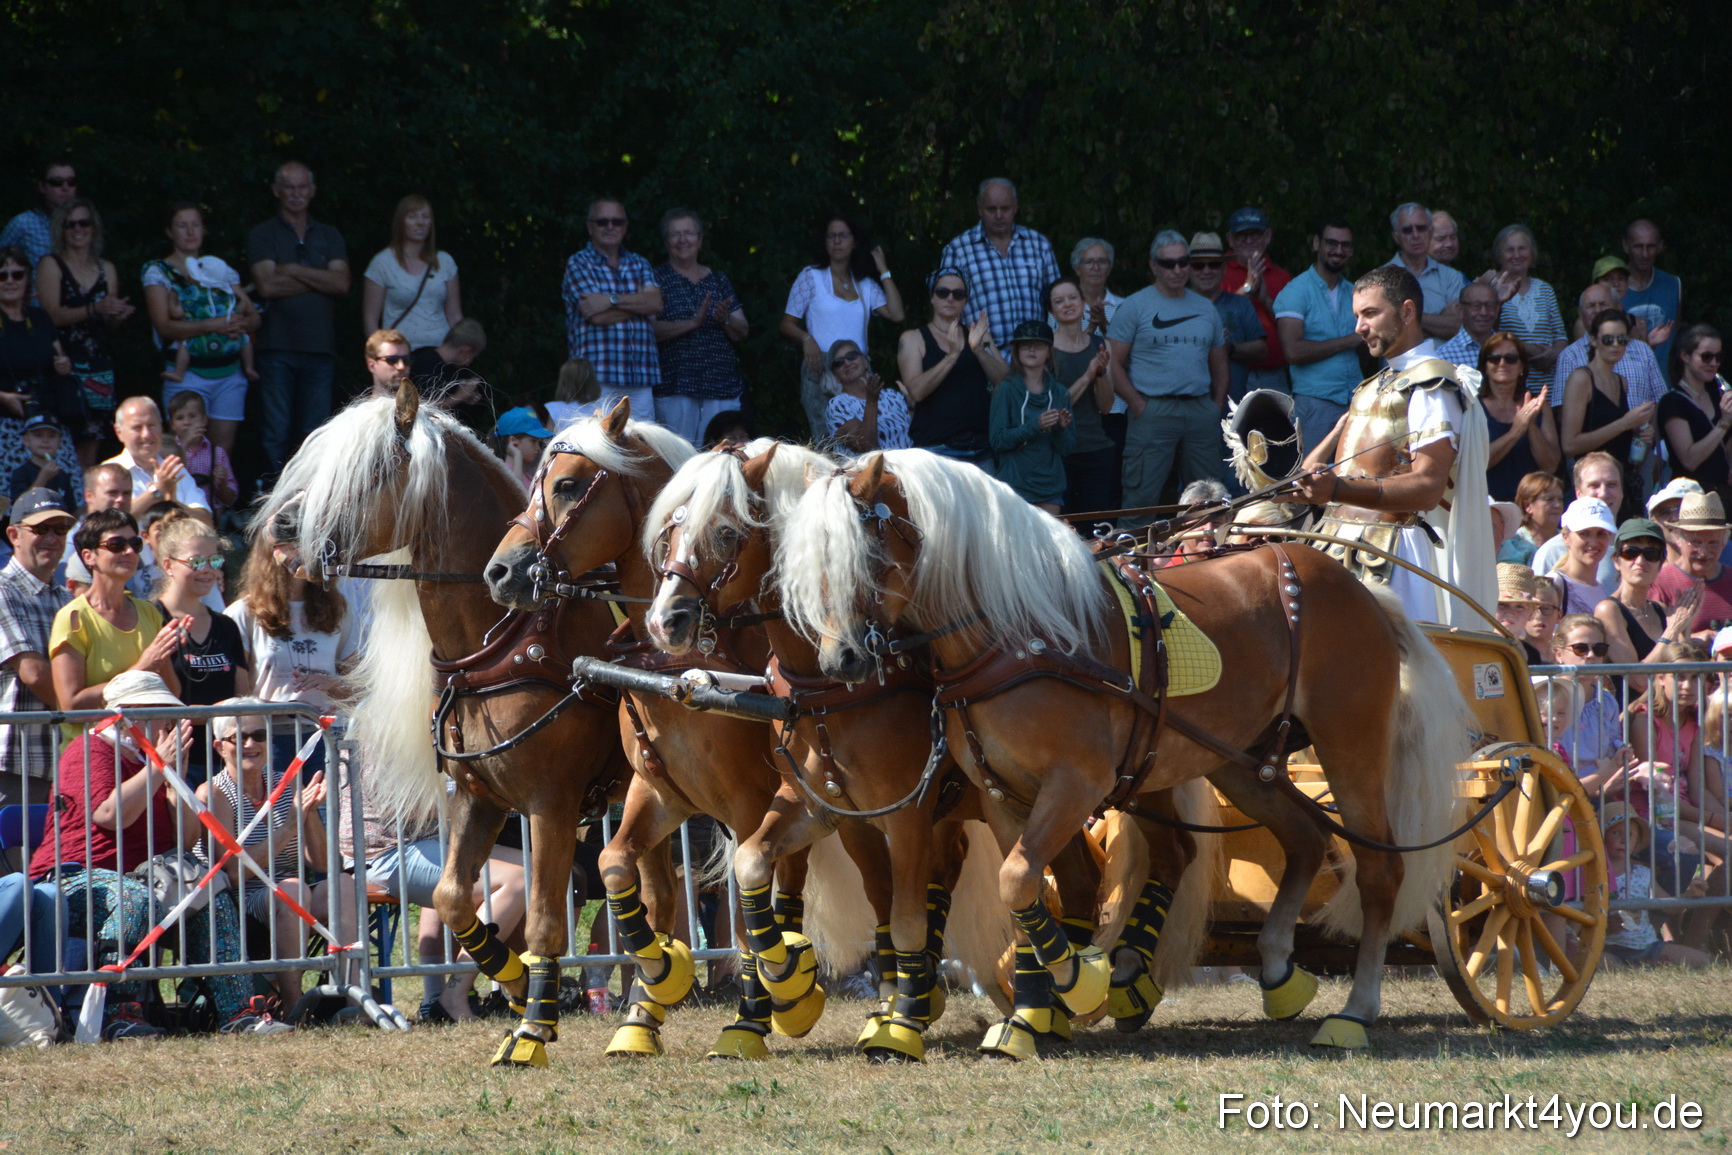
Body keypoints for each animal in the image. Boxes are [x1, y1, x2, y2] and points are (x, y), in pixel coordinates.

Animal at [259, 382, 633, 1068]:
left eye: (372, 471)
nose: (282, 525)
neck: (511, 639)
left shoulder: (552, 803)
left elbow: (545, 918)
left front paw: (532, 1025)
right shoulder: (476, 796)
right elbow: (452, 898)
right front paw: (512, 982)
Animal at [482, 408, 878, 1059]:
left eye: (566, 485)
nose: (500, 570)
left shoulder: (748, 802)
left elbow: (744, 916)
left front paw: (749, 1018)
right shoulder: (658, 791)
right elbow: (620, 869)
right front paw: (655, 988)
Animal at [640, 440, 1215, 1060]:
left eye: (724, 532)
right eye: (669, 531)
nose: (665, 620)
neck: (828, 691)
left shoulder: (907, 810)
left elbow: (905, 914)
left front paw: (896, 1021)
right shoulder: (832, 810)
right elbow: (769, 866)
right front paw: (796, 978)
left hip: (1126, 781)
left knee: (1167, 854)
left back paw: (1115, 983)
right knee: (1080, 877)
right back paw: (1056, 1001)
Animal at [779, 449, 1471, 1053]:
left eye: (866, 554)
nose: (840, 661)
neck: (1018, 634)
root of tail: (1356, 587)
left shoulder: (1077, 783)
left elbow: (1018, 880)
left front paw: (1074, 983)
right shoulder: (1003, 794)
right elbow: (1022, 888)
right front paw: (1042, 1007)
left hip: (1349, 743)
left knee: (1378, 869)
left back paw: (1355, 1009)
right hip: (1243, 760)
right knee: (1305, 836)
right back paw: (1279, 969)